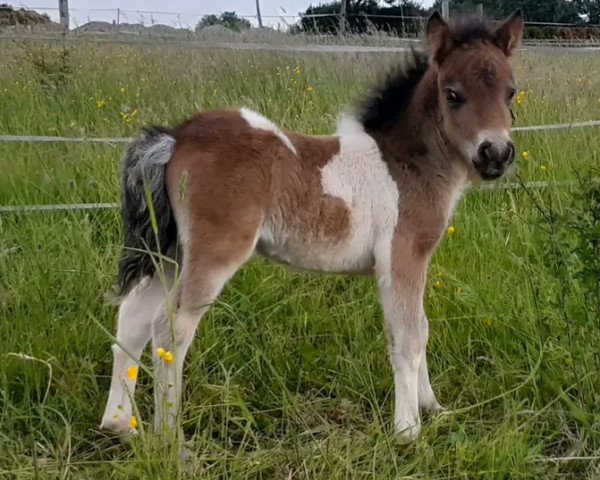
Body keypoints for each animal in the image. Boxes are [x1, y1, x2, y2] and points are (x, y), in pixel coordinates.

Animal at [101, 10, 524, 442]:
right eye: (452, 94)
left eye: (511, 92)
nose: (496, 153)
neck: (405, 164)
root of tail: (176, 137)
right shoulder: (403, 255)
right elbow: (409, 336)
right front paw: (408, 430)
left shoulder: (407, 262)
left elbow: (418, 328)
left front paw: (433, 408)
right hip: (213, 253)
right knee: (170, 331)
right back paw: (171, 441)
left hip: (169, 251)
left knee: (133, 320)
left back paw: (119, 425)